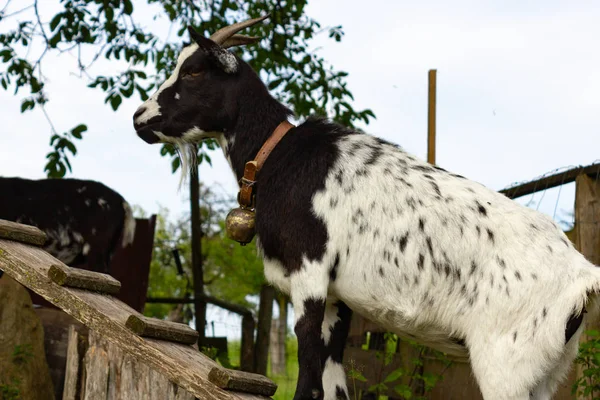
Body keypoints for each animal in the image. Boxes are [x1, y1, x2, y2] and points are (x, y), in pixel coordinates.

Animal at [135, 15, 600, 400]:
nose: (139, 118)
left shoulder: (310, 273)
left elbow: (308, 384)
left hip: (505, 363)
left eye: (194, 70)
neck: (276, 156)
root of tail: (582, 276)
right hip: (546, 368)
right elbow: (335, 385)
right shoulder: (338, 300)